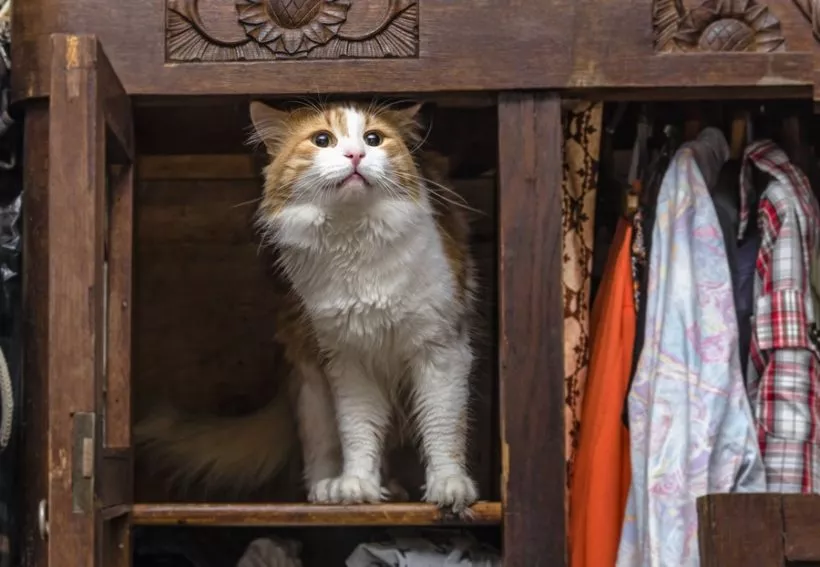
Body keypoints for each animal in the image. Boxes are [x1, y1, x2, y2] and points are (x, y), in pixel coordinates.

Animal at [134, 102, 478, 516]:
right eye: (322, 140)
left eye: (373, 138)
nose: (355, 155)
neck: (355, 242)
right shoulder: (349, 360)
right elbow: (358, 431)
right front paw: (357, 485)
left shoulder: (440, 349)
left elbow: (443, 426)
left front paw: (449, 486)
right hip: (310, 381)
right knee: (324, 447)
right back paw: (331, 490)